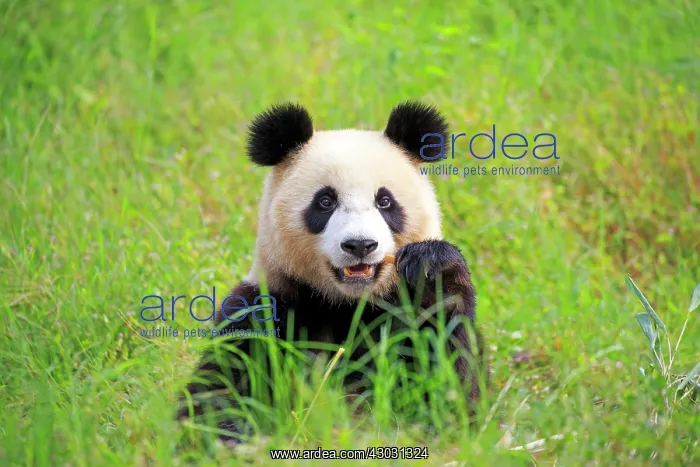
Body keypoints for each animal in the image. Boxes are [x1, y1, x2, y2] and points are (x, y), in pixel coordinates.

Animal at [178, 101, 487, 442]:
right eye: (325, 201)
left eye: (385, 201)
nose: (360, 245)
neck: (346, 303)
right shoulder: (265, 308)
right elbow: (220, 391)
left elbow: (446, 399)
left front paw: (430, 266)